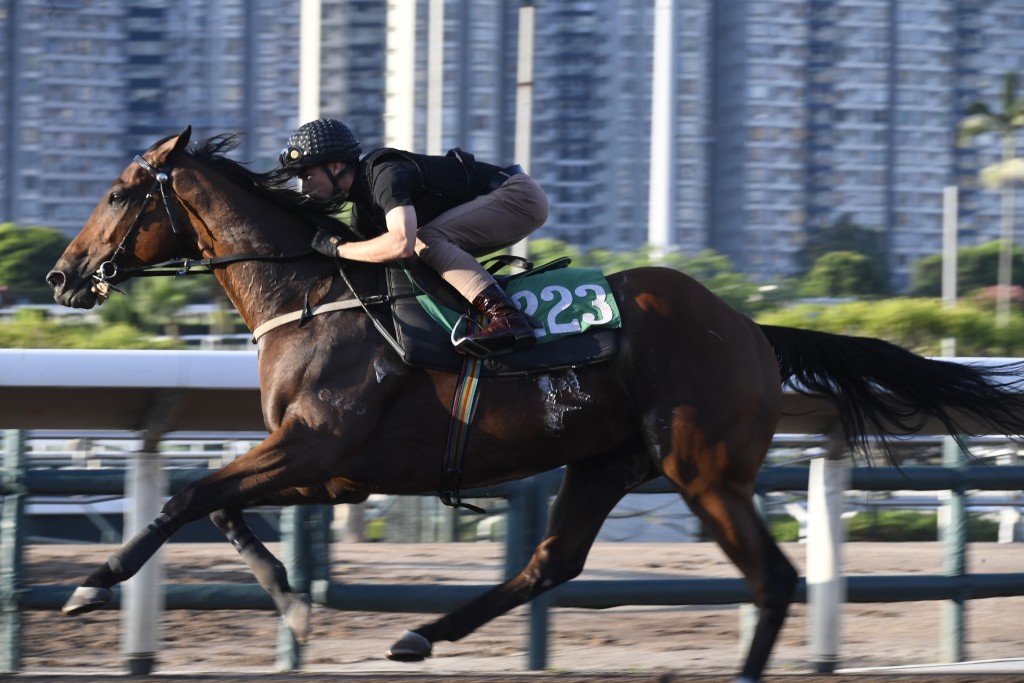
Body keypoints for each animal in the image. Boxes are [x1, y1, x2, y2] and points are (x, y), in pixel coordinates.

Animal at [48, 126, 1024, 679]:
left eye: (119, 192)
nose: (62, 276)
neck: (313, 297)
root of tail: (750, 327)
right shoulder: (324, 471)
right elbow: (216, 505)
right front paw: (290, 598)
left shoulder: (317, 448)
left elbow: (190, 493)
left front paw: (93, 584)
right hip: (605, 458)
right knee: (553, 561)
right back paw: (420, 636)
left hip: (704, 469)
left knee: (773, 579)